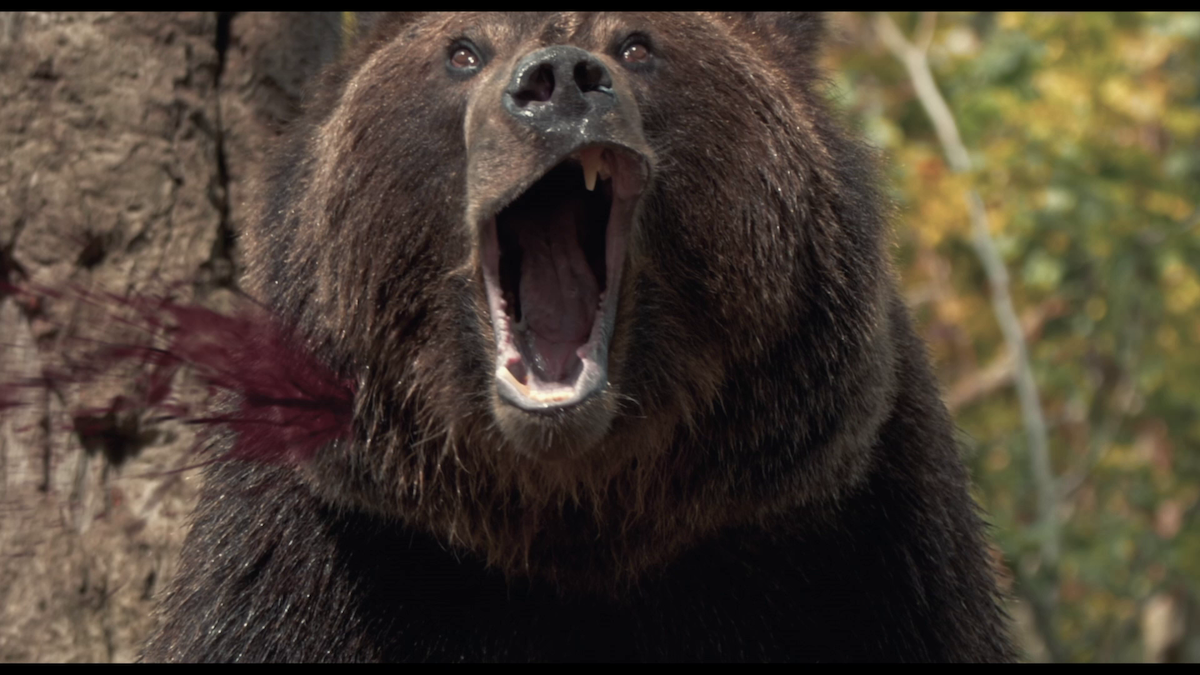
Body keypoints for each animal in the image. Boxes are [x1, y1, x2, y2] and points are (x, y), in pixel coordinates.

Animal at [141, 12, 1016, 662]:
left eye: (635, 44)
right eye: (464, 50)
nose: (558, 81)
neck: (576, 512)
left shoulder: (868, 558)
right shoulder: (325, 560)